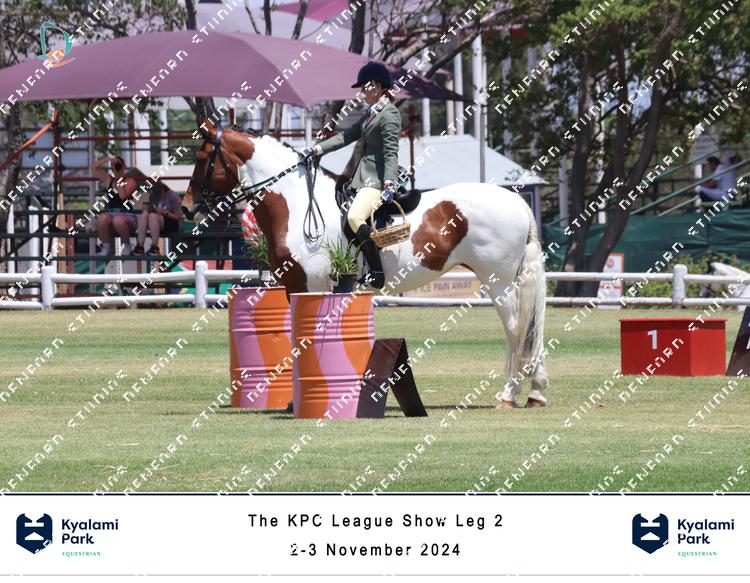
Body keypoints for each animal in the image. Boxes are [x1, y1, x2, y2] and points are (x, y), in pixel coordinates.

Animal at [182, 124, 550, 408]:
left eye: (201, 159)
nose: (186, 208)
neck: (297, 204)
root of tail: (516, 200)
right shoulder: (295, 286)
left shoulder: (311, 284)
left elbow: (303, 342)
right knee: (532, 328)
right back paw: (536, 394)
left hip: (498, 281)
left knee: (516, 330)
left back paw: (508, 395)